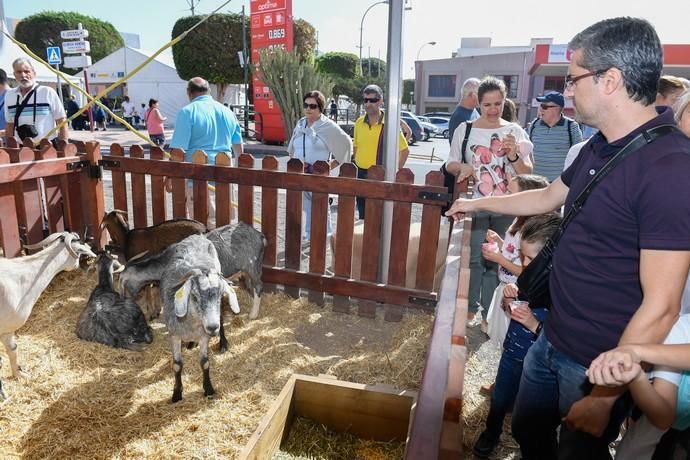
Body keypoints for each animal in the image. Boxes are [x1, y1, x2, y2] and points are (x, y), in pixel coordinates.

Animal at [158, 235, 239, 400]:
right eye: (194, 296)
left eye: (220, 295)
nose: (212, 327)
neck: (192, 323)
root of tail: (198, 236)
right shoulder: (174, 335)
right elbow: (177, 365)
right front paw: (177, 393)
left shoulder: (204, 336)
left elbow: (205, 362)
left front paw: (208, 389)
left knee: (221, 318)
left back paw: (222, 343)